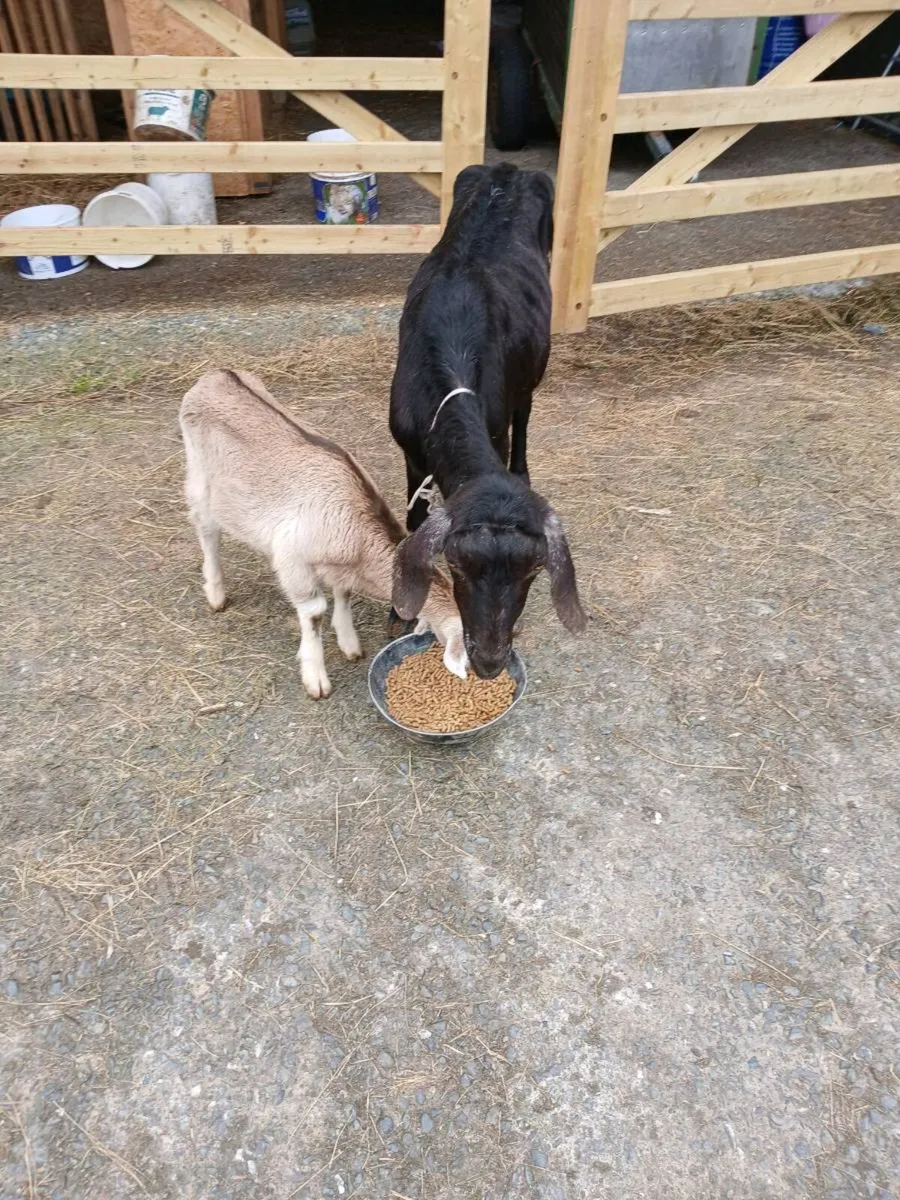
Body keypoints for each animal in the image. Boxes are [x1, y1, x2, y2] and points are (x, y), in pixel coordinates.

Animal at [180, 369, 466, 699]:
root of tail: (214, 375)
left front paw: (349, 643)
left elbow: (343, 591)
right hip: (199, 477)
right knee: (206, 529)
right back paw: (216, 593)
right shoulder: (294, 559)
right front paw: (316, 678)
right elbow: (314, 613)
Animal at [389, 162, 587, 679]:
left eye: (534, 570)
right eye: (457, 567)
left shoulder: (495, 430)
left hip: (533, 365)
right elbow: (413, 518)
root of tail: (507, 167)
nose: (490, 662)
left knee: (526, 409)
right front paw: (400, 613)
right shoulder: (410, 453)